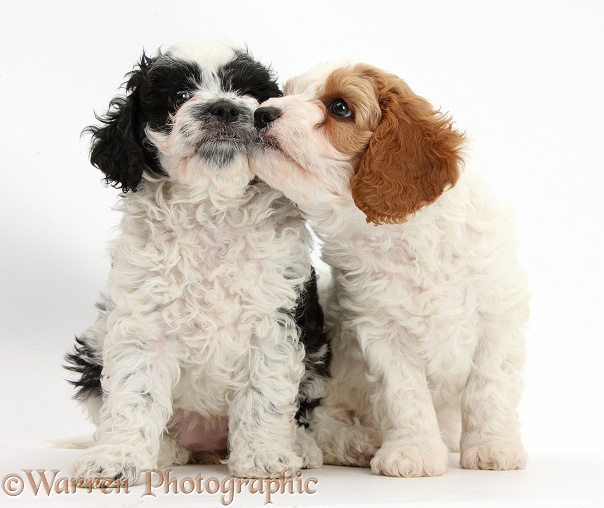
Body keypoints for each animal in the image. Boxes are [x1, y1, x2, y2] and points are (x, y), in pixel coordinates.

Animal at [65, 41, 330, 482]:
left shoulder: (275, 320)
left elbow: (265, 393)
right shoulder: (144, 325)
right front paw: (117, 458)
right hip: (90, 354)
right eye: (180, 95)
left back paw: (302, 447)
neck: (211, 208)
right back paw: (164, 450)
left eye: (248, 94)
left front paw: (264, 456)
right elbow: (134, 394)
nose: (223, 108)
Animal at [250, 62, 528, 476]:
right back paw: (356, 443)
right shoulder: (382, 332)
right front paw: (413, 452)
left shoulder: (498, 317)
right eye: (286, 94)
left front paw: (493, 447)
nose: (261, 113)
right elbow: (405, 394)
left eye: (340, 107)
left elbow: (489, 387)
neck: (401, 238)